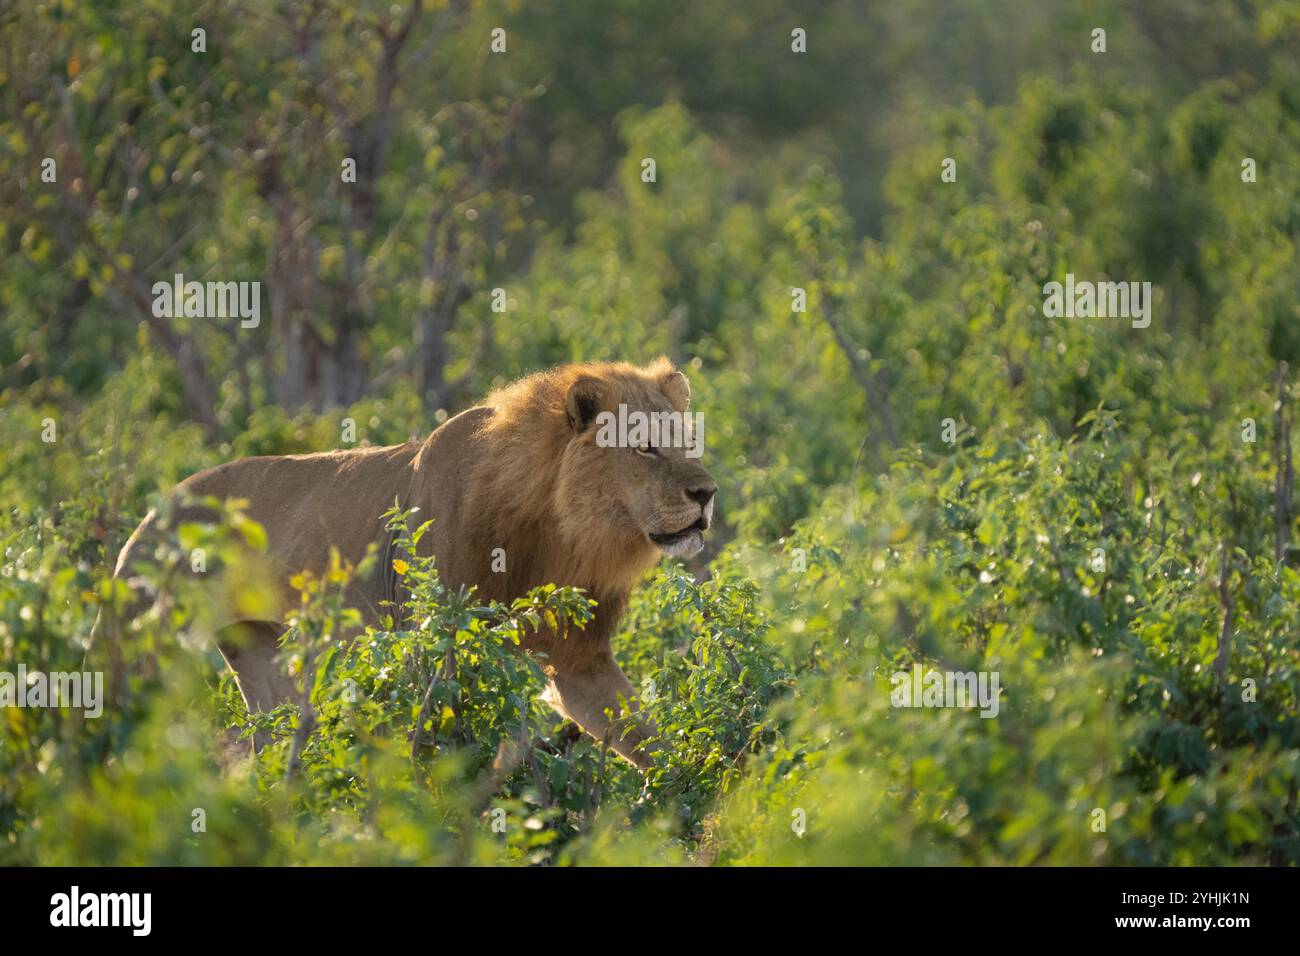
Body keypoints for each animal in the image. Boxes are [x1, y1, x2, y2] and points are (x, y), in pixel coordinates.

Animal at [96, 358, 717, 770]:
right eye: (644, 447)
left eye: (687, 442)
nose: (707, 493)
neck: (562, 531)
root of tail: (151, 512)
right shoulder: (437, 649)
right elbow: (445, 747)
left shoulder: (578, 658)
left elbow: (647, 736)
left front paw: (696, 798)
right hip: (137, 649)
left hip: (263, 657)